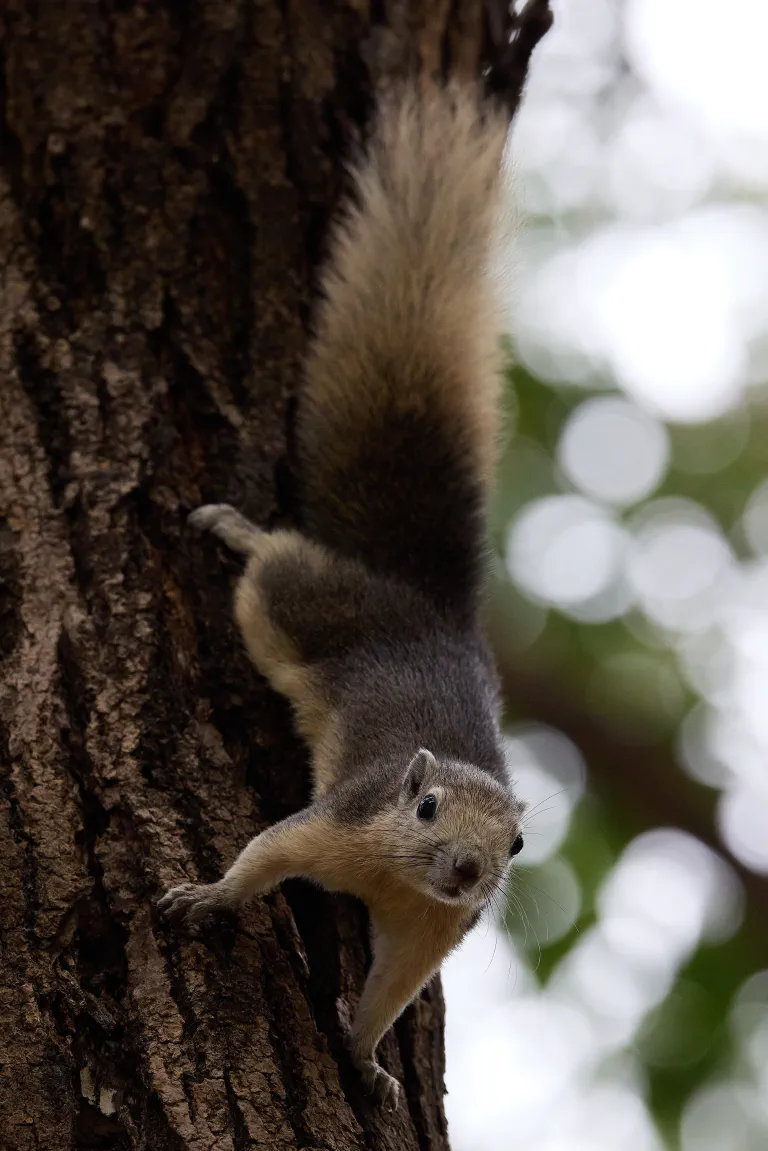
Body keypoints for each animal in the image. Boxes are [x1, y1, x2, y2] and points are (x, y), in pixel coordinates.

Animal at [158, 78, 525, 1104]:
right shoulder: (338, 822)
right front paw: (208, 896)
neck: (396, 878)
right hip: (293, 609)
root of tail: (425, 604)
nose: (464, 867)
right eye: (425, 807)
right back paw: (233, 529)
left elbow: (385, 995)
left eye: (513, 850)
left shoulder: (428, 932)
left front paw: (365, 1062)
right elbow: (265, 855)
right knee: (274, 565)